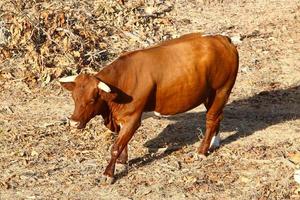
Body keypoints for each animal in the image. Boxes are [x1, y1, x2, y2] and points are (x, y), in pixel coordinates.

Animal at [59, 32, 239, 180]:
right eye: (74, 98)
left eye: (92, 100)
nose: (73, 122)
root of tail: (222, 39)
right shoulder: (120, 119)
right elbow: (122, 142)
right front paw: (123, 161)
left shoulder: (133, 118)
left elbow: (116, 146)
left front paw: (108, 174)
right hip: (210, 95)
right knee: (218, 116)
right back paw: (214, 143)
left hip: (222, 90)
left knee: (211, 119)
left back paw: (201, 152)